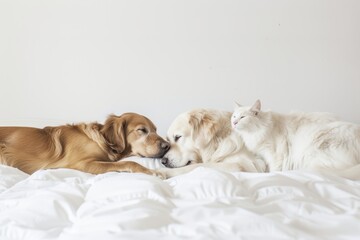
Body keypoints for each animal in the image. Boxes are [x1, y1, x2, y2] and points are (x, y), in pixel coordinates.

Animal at [0, 112, 169, 176]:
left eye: (155, 130)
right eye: (142, 130)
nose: (167, 146)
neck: (103, 141)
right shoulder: (82, 163)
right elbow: (128, 162)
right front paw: (153, 172)